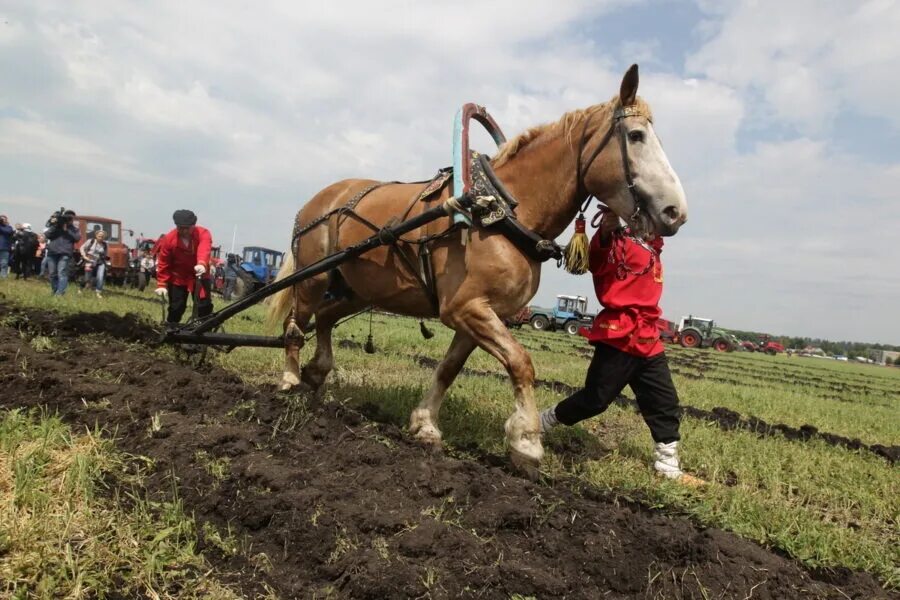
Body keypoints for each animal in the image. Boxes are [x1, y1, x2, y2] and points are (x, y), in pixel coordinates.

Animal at [268, 65, 688, 476]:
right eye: (636, 136)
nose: (676, 212)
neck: (501, 210)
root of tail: (320, 199)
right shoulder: (466, 308)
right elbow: (521, 362)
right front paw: (526, 441)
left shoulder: (483, 314)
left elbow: (449, 368)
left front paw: (425, 424)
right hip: (314, 277)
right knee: (296, 324)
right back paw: (289, 380)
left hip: (357, 290)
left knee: (324, 318)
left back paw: (317, 374)